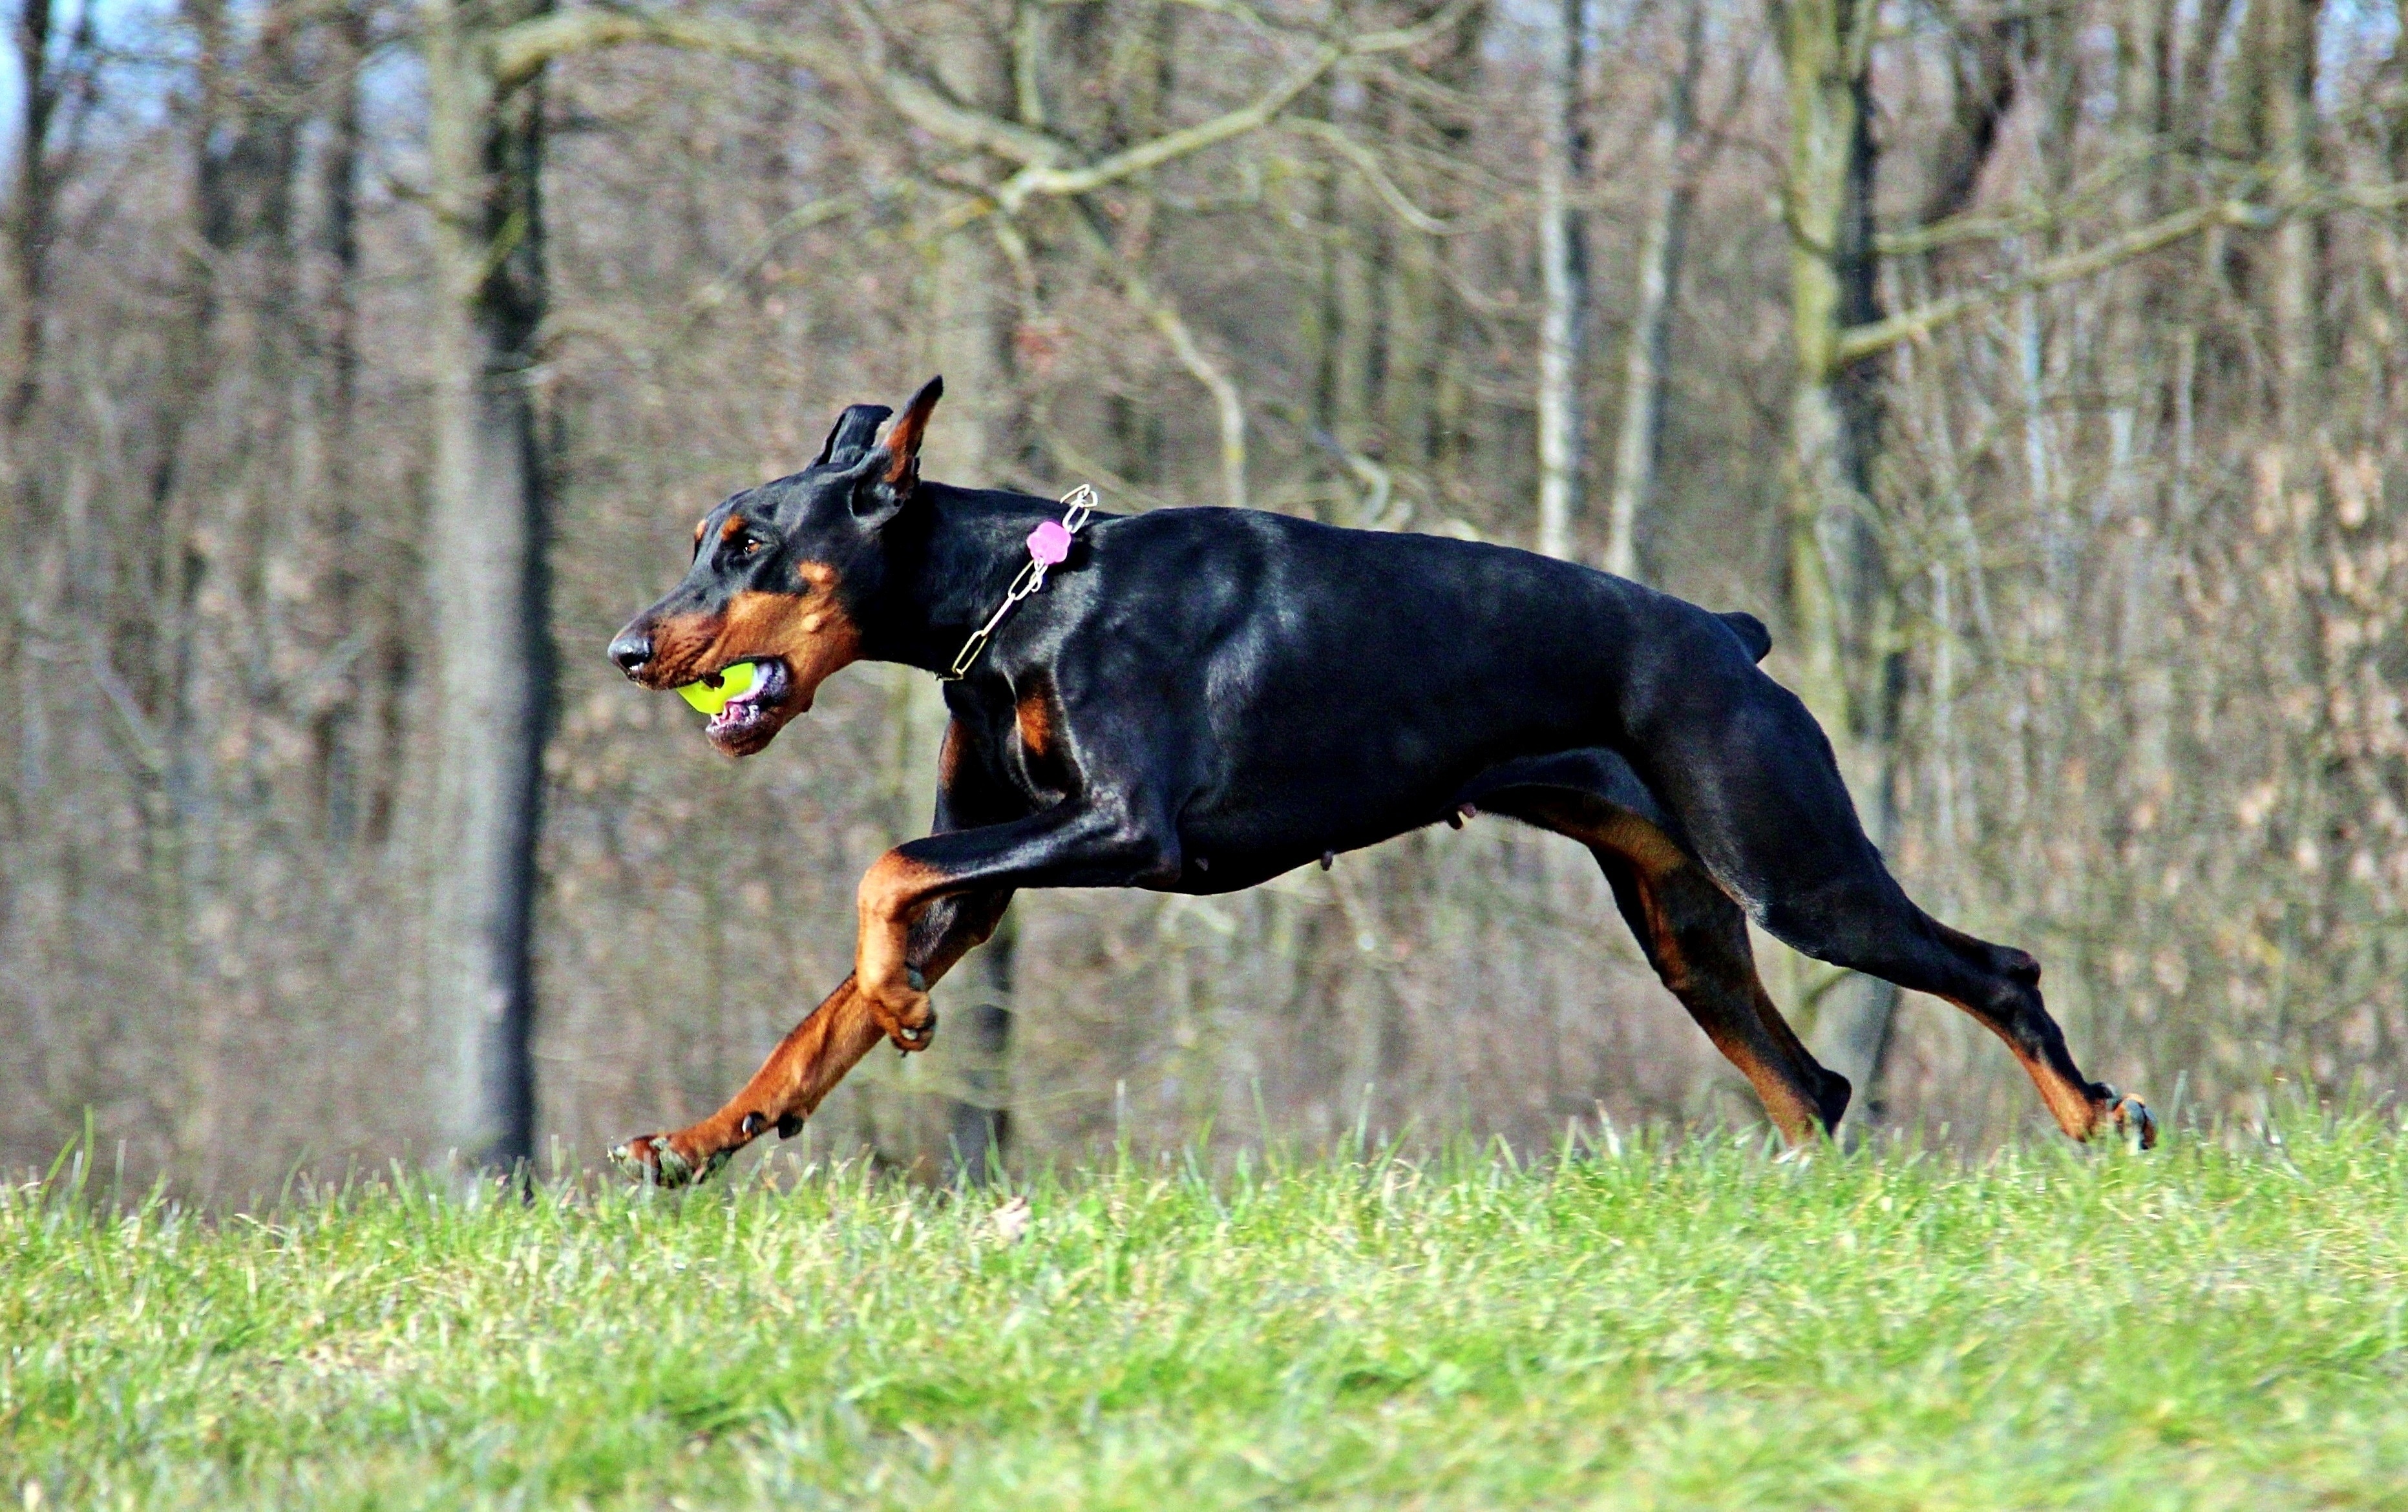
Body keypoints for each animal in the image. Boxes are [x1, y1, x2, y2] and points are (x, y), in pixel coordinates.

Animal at [597, 378, 2148, 1179]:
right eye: (700, 539)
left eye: (748, 544)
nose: (626, 648)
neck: (1017, 601)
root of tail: (1728, 636)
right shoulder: (999, 855)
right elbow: (828, 1008)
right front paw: (710, 1133)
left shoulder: (1131, 831)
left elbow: (882, 874)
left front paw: (902, 1007)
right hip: (1687, 924)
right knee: (1813, 1085)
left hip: (1794, 869)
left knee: (1997, 970)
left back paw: (2102, 1119)